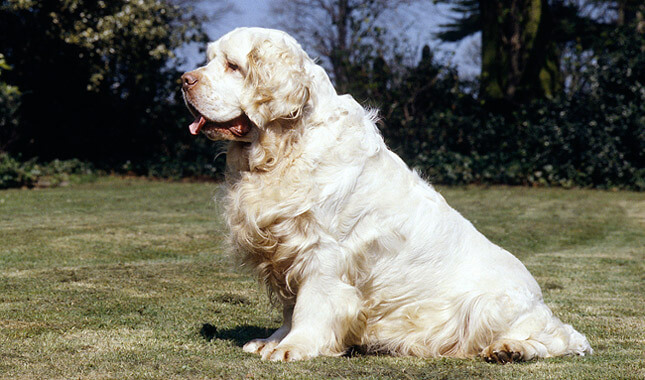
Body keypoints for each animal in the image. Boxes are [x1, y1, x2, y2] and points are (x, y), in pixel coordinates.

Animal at [179, 26, 592, 362]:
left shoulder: (323, 252)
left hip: (490, 307)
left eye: (233, 66)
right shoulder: (287, 249)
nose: (183, 80)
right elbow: (290, 306)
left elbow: (310, 303)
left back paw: (513, 349)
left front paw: (293, 346)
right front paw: (274, 340)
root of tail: (539, 301)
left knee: (561, 339)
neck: (285, 146)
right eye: (209, 59)